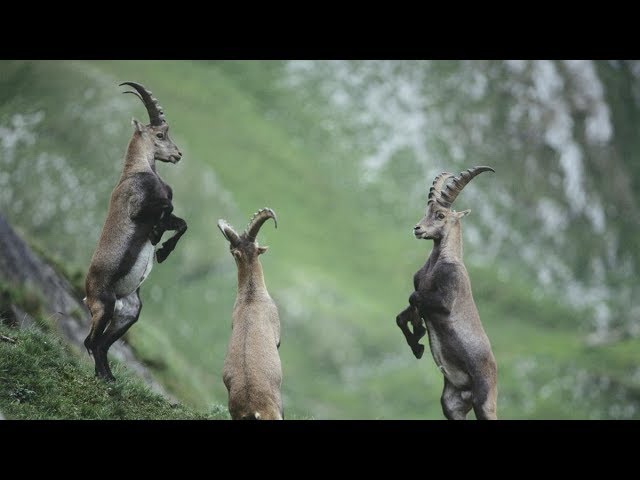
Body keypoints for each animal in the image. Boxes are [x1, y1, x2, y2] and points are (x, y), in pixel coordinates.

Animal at [83, 82, 187, 380]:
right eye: (160, 134)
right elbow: (167, 205)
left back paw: (110, 378)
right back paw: (102, 377)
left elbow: (180, 222)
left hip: (129, 313)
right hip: (104, 305)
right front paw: (157, 239)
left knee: (103, 344)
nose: (177, 154)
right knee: (91, 342)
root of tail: (87, 295)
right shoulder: (139, 209)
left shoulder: (162, 213)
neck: (137, 170)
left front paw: (162, 249)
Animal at [396, 166, 498, 420]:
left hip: (485, 401)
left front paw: (419, 333)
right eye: (427, 212)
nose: (418, 229)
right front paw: (417, 343)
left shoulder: (445, 297)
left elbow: (415, 299)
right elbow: (401, 315)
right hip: (451, 403)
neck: (437, 263)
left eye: (441, 215)